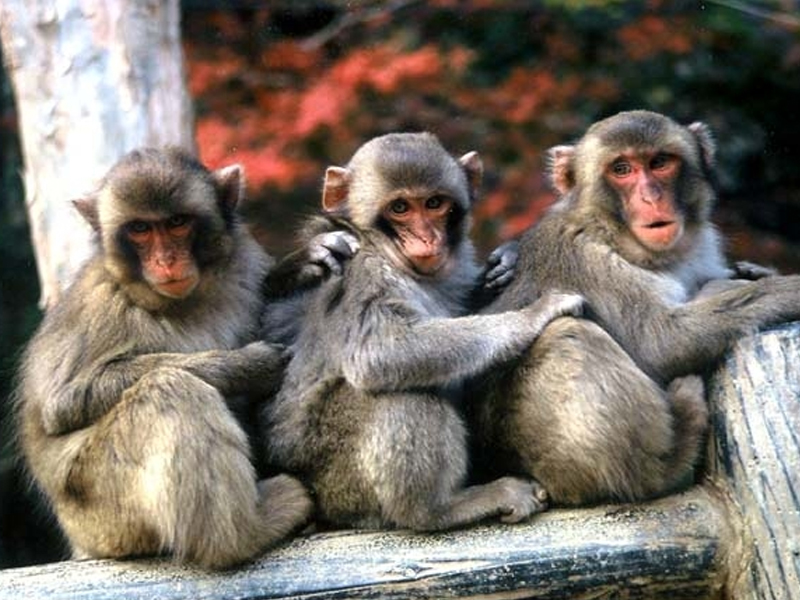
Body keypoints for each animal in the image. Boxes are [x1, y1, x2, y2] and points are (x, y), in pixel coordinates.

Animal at [15, 148, 328, 568]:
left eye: (177, 223)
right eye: (140, 230)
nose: (166, 260)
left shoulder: (244, 263)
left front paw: (297, 267)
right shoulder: (100, 305)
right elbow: (63, 405)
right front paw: (248, 366)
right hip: (104, 514)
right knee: (170, 389)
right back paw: (245, 533)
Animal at [260, 131, 584, 528]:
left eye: (434, 203)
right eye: (400, 208)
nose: (427, 238)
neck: (391, 256)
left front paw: (504, 262)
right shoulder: (366, 275)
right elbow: (379, 351)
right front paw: (535, 313)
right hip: (340, 481)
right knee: (402, 387)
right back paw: (439, 508)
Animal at [466, 109, 800, 506]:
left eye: (660, 163)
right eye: (622, 169)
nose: (651, 197)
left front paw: (752, 274)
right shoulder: (586, 260)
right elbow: (660, 343)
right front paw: (787, 288)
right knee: (568, 335)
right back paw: (668, 458)